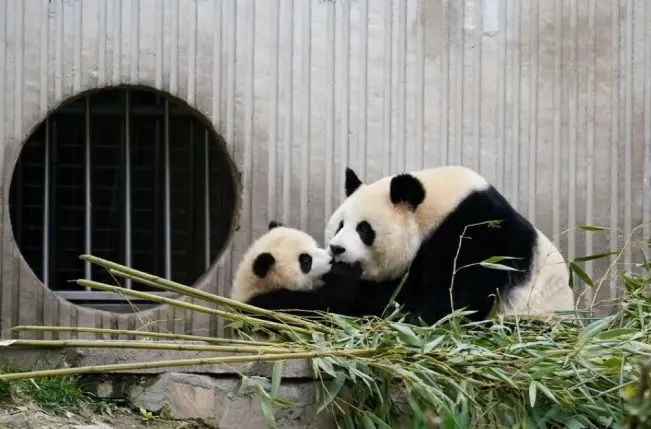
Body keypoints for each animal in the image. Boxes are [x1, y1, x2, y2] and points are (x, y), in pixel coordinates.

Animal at [230, 221, 363, 319]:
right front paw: (347, 270)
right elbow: (322, 308)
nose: (331, 260)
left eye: (316, 246)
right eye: (306, 260)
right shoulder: (273, 308)